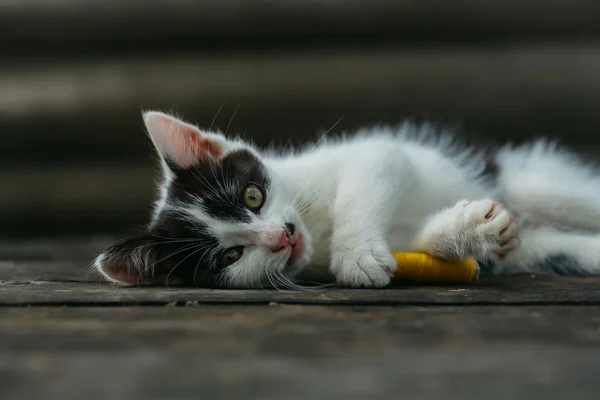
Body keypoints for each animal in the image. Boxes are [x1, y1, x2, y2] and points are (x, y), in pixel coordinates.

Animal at [92, 111, 600, 288]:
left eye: (254, 196)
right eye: (230, 256)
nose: (283, 236)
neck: (317, 230)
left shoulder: (376, 152)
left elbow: (367, 179)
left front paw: (355, 255)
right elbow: (423, 244)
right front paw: (467, 230)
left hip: (529, 180)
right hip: (542, 244)